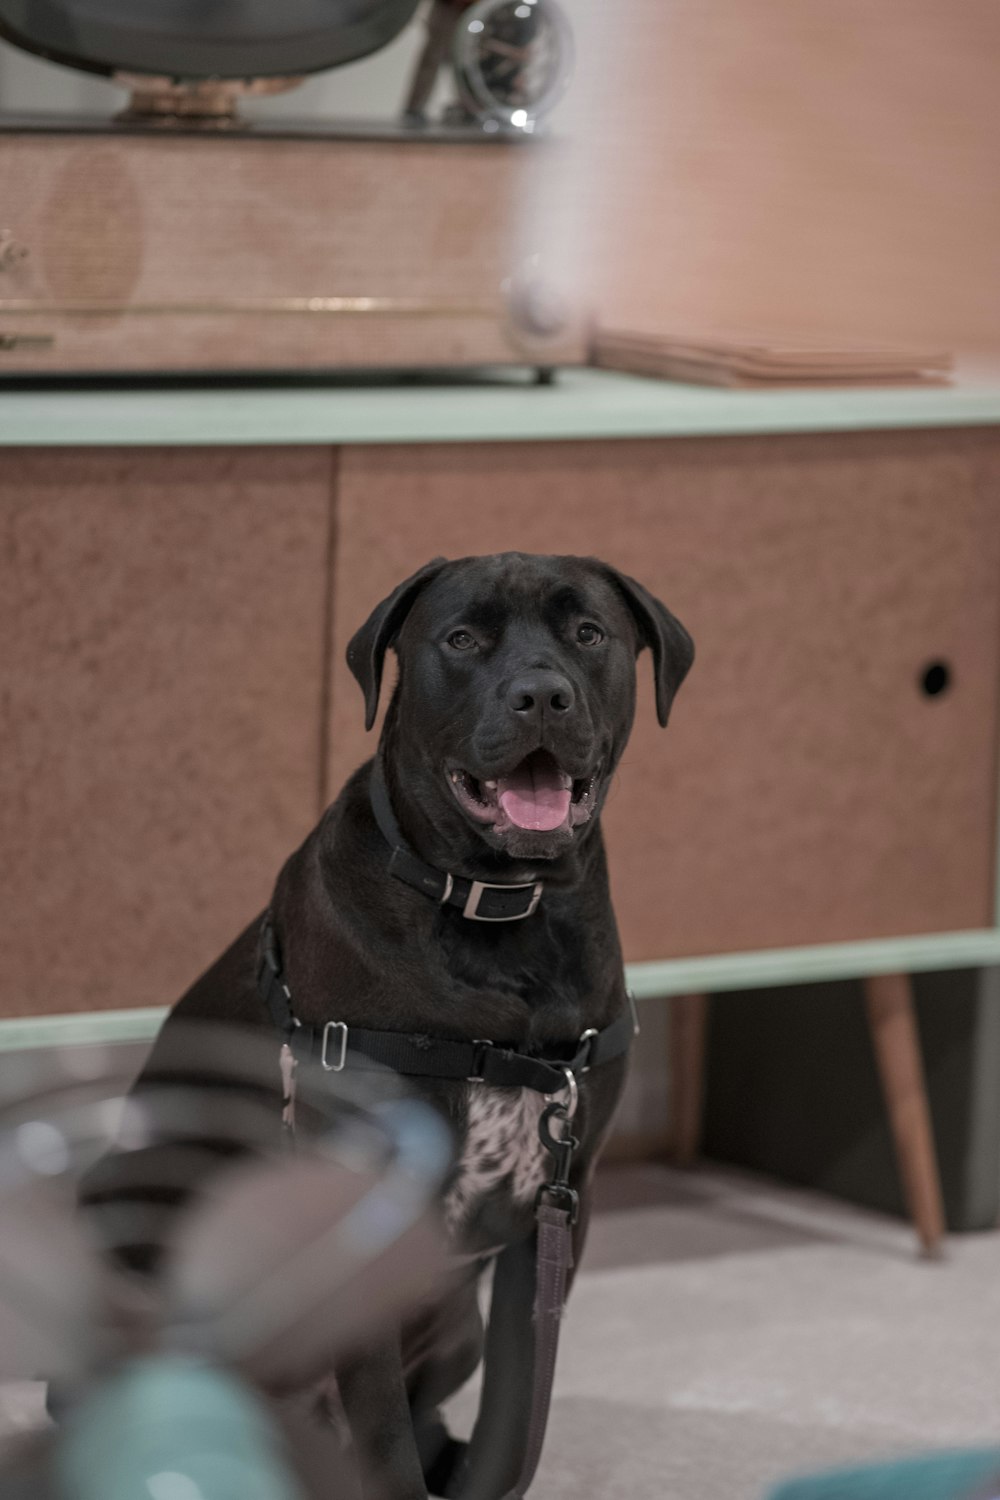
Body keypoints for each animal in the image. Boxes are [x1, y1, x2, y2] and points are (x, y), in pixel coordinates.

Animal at [128, 552, 692, 1500]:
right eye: (461, 639)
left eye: (588, 633)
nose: (542, 696)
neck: (498, 909)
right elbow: (386, 1444)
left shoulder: (556, 1215)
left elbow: (510, 1427)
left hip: (457, 1321)